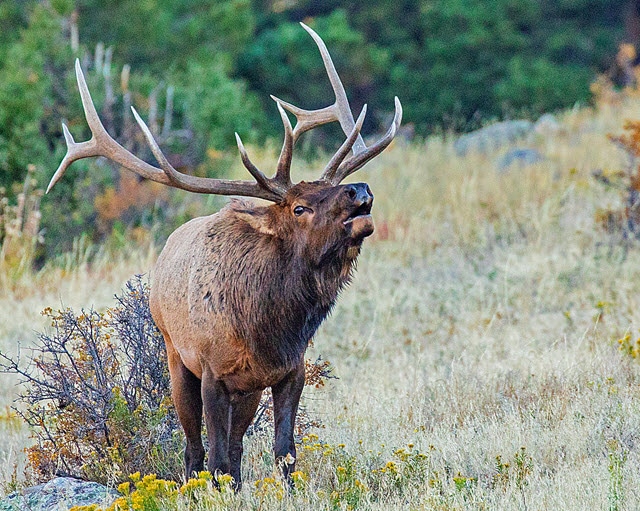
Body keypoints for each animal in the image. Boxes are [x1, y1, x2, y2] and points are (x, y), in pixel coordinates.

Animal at [47, 24, 402, 486]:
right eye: (299, 207)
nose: (359, 190)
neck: (269, 328)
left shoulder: (289, 371)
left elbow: (284, 454)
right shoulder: (212, 371)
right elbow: (213, 460)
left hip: (246, 390)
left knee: (234, 453)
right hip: (176, 357)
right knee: (195, 451)